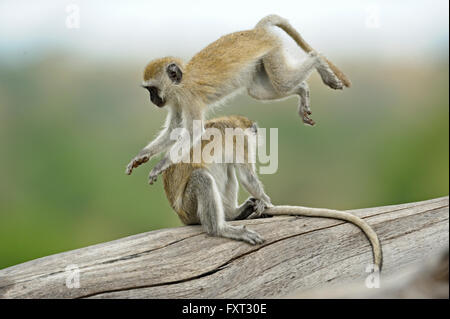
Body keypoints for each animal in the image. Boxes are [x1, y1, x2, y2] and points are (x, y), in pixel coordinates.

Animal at [126, 15, 352, 185]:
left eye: (152, 89)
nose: (153, 99)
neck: (181, 82)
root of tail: (257, 32)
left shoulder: (189, 98)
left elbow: (193, 131)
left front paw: (160, 165)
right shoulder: (176, 101)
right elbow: (174, 129)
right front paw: (142, 156)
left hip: (272, 51)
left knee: (283, 81)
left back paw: (318, 60)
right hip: (262, 64)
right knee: (262, 91)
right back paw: (303, 90)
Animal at [160, 115, 382, 270]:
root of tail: (181, 215)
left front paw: (261, 203)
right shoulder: (240, 141)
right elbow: (247, 176)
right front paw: (266, 202)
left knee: (227, 169)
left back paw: (233, 213)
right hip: (189, 206)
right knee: (203, 178)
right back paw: (220, 228)